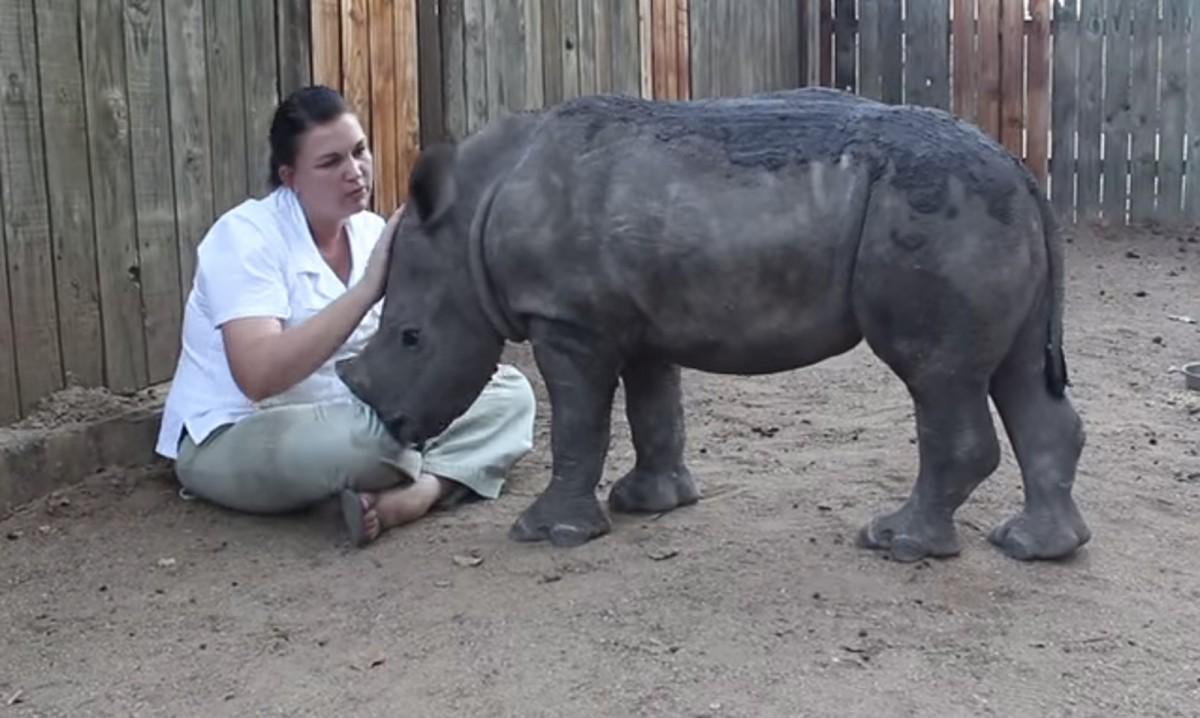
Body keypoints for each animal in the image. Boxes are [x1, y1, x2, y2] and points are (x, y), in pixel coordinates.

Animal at [336, 86, 1091, 563]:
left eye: (410, 337)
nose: (389, 422)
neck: (470, 214)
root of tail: (1022, 170)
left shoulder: (568, 319)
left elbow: (580, 424)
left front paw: (548, 534)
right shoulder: (635, 319)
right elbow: (654, 409)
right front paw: (652, 504)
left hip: (940, 218)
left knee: (936, 375)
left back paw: (896, 544)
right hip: (984, 216)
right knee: (1017, 374)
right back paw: (1034, 548)